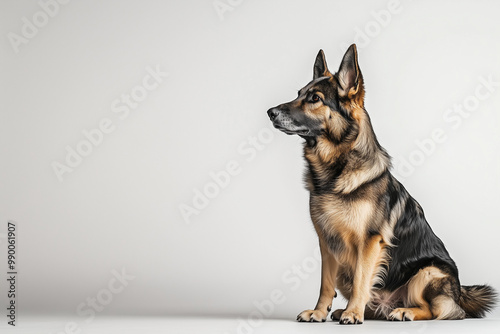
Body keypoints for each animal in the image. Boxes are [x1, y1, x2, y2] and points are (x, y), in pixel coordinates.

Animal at [266, 44, 496, 324]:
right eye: (299, 94)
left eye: (315, 98)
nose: (270, 112)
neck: (336, 169)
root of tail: (460, 293)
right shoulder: (327, 244)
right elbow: (325, 284)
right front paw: (320, 312)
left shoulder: (369, 242)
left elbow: (362, 279)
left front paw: (353, 314)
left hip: (427, 272)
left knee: (440, 311)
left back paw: (403, 311)